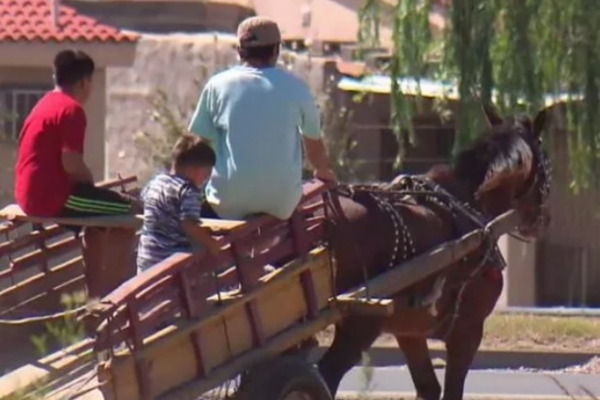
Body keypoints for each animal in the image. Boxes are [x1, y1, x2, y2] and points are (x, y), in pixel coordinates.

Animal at [316, 104, 552, 400]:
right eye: (546, 165)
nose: (543, 220)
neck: (471, 204)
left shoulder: (410, 332)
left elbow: (428, 387)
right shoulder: (467, 331)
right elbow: (451, 391)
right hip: (360, 322)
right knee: (324, 375)